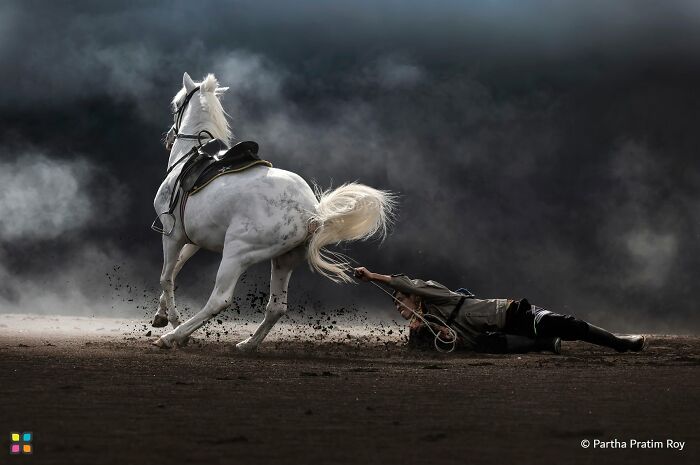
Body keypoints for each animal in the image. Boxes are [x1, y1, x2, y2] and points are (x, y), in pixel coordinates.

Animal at [151, 72, 395, 351]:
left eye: (176, 104)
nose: (168, 138)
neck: (190, 158)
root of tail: (311, 212)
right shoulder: (193, 240)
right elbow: (177, 268)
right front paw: (160, 315)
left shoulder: (172, 234)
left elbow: (167, 277)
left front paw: (171, 319)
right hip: (283, 260)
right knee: (277, 307)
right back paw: (247, 344)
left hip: (236, 254)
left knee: (219, 300)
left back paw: (175, 336)